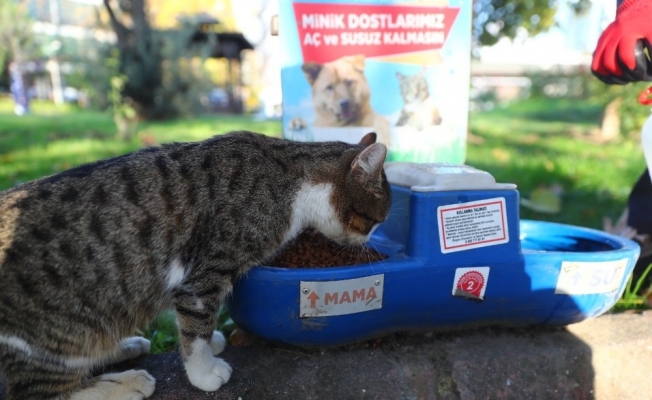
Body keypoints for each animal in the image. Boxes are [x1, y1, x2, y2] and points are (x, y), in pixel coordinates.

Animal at [0, 131, 391, 400]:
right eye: (374, 221)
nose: (369, 241)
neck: (290, 178)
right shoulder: (202, 277)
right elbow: (196, 329)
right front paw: (204, 373)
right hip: (58, 337)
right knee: (37, 393)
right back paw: (125, 382)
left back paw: (126, 347)